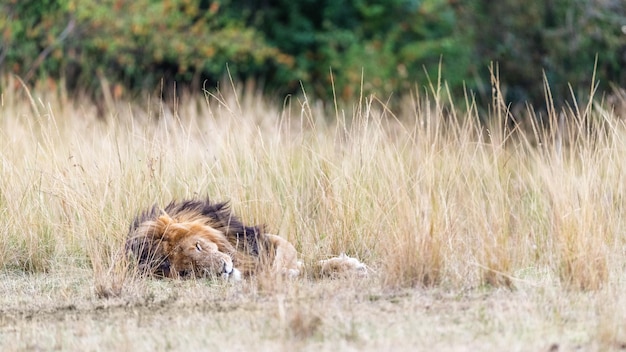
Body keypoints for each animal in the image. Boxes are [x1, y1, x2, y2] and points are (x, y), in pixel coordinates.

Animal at [123, 198, 364, 280]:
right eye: (187, 272)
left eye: (198, 246)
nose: (224, 270)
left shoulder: (261, 239)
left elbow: (289, 256)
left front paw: (350, 266)